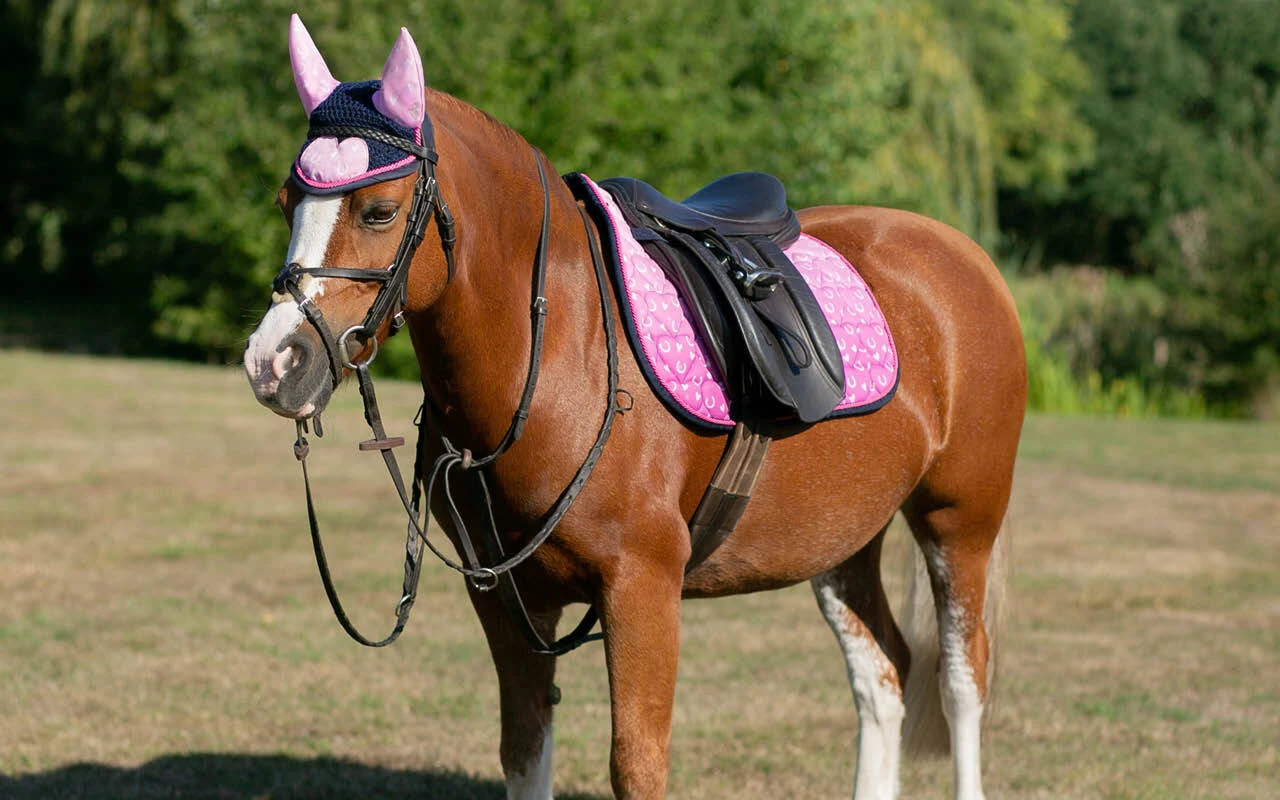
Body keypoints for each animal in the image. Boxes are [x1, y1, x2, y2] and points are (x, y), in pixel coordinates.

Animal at [243, 16, 1025, 800]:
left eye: (378, 211)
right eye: (285, 203)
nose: (273, 363)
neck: (561, 357)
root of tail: (963, 254)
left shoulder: (642, 587)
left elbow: (636, 763)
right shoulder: (505, 600)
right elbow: (524, 750)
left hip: (960, 521)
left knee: (962, 682)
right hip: (843, 539)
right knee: (882, 675)